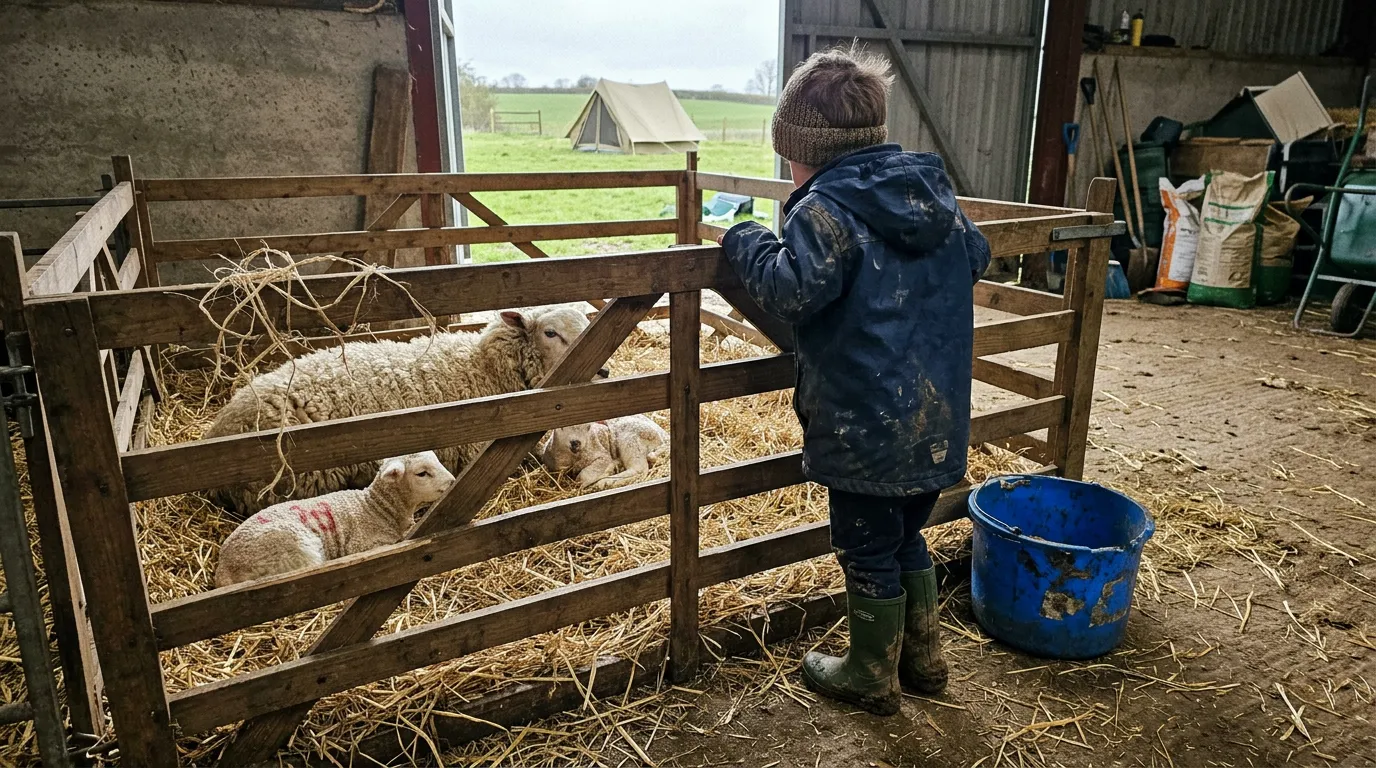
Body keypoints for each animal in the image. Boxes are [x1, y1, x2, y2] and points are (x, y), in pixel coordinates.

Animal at [214, 451, 454, 587]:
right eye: (422, 473)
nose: (452, 481)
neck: (376, 508)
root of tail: (223, 567)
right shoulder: (363, 545)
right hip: (298, 551)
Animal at [538, 415, 669, 491]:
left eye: (588, 427)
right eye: (561, 426)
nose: (576, 443)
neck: (573, 457)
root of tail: (665, 437)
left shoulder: (602, 455)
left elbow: (582, 478)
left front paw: (607, 471)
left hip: (630, 438)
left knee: (639, 469)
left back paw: (605, 482)